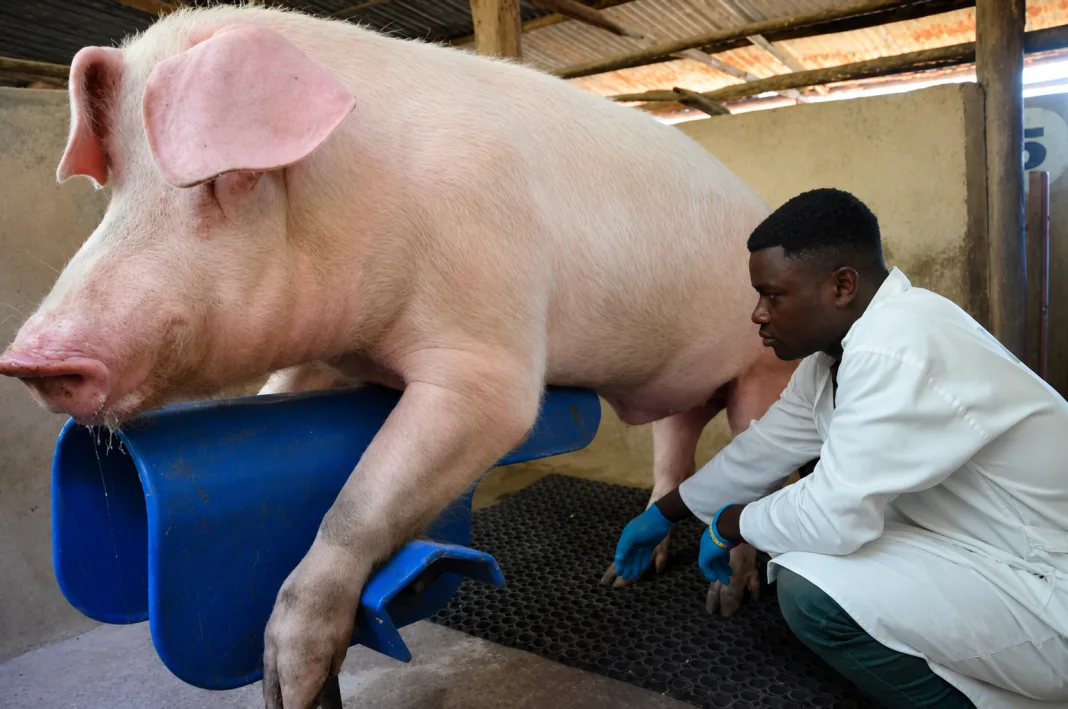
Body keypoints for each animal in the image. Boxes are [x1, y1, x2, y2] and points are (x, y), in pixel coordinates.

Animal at [0, 5, 797, 707]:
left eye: (228, 178)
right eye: (113, 187)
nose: (31, 361)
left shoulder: (489, 356)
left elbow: (358, 506)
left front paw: (288, 684)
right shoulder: (321, 355)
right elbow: (279, 400)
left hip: (767, 367)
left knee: (752, 470)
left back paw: (725, 597)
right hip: (680, 386)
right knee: (675, 446)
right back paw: (623, 576)